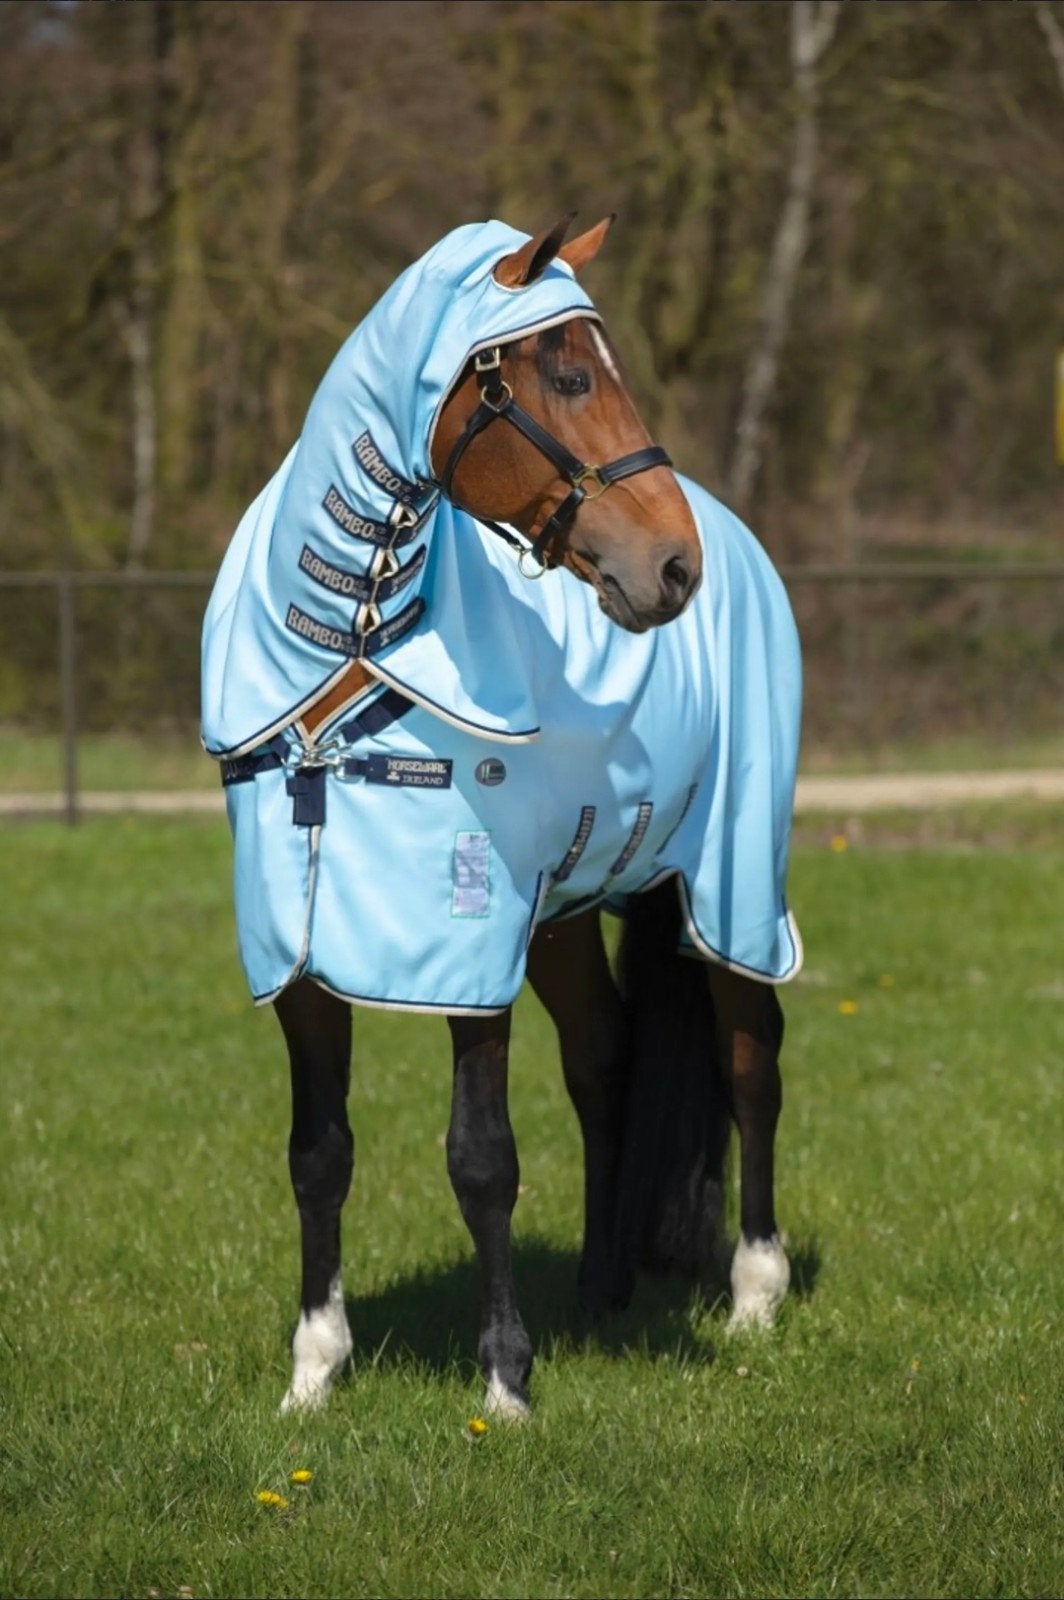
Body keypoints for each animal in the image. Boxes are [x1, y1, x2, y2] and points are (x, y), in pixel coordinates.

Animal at [201, 214, 802, 1420]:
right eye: (568, 376)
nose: (672, 567)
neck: (349, 665)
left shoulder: (464, 947)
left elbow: (480, 1157)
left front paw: (505, 1379)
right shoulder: (297, 954)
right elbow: (317, 1153)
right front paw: (313, 1372)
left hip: (731, 886)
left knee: (751, 1059)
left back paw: (754, 1294)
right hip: (567, 908)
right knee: (605, 1061)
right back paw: (601, 1286)